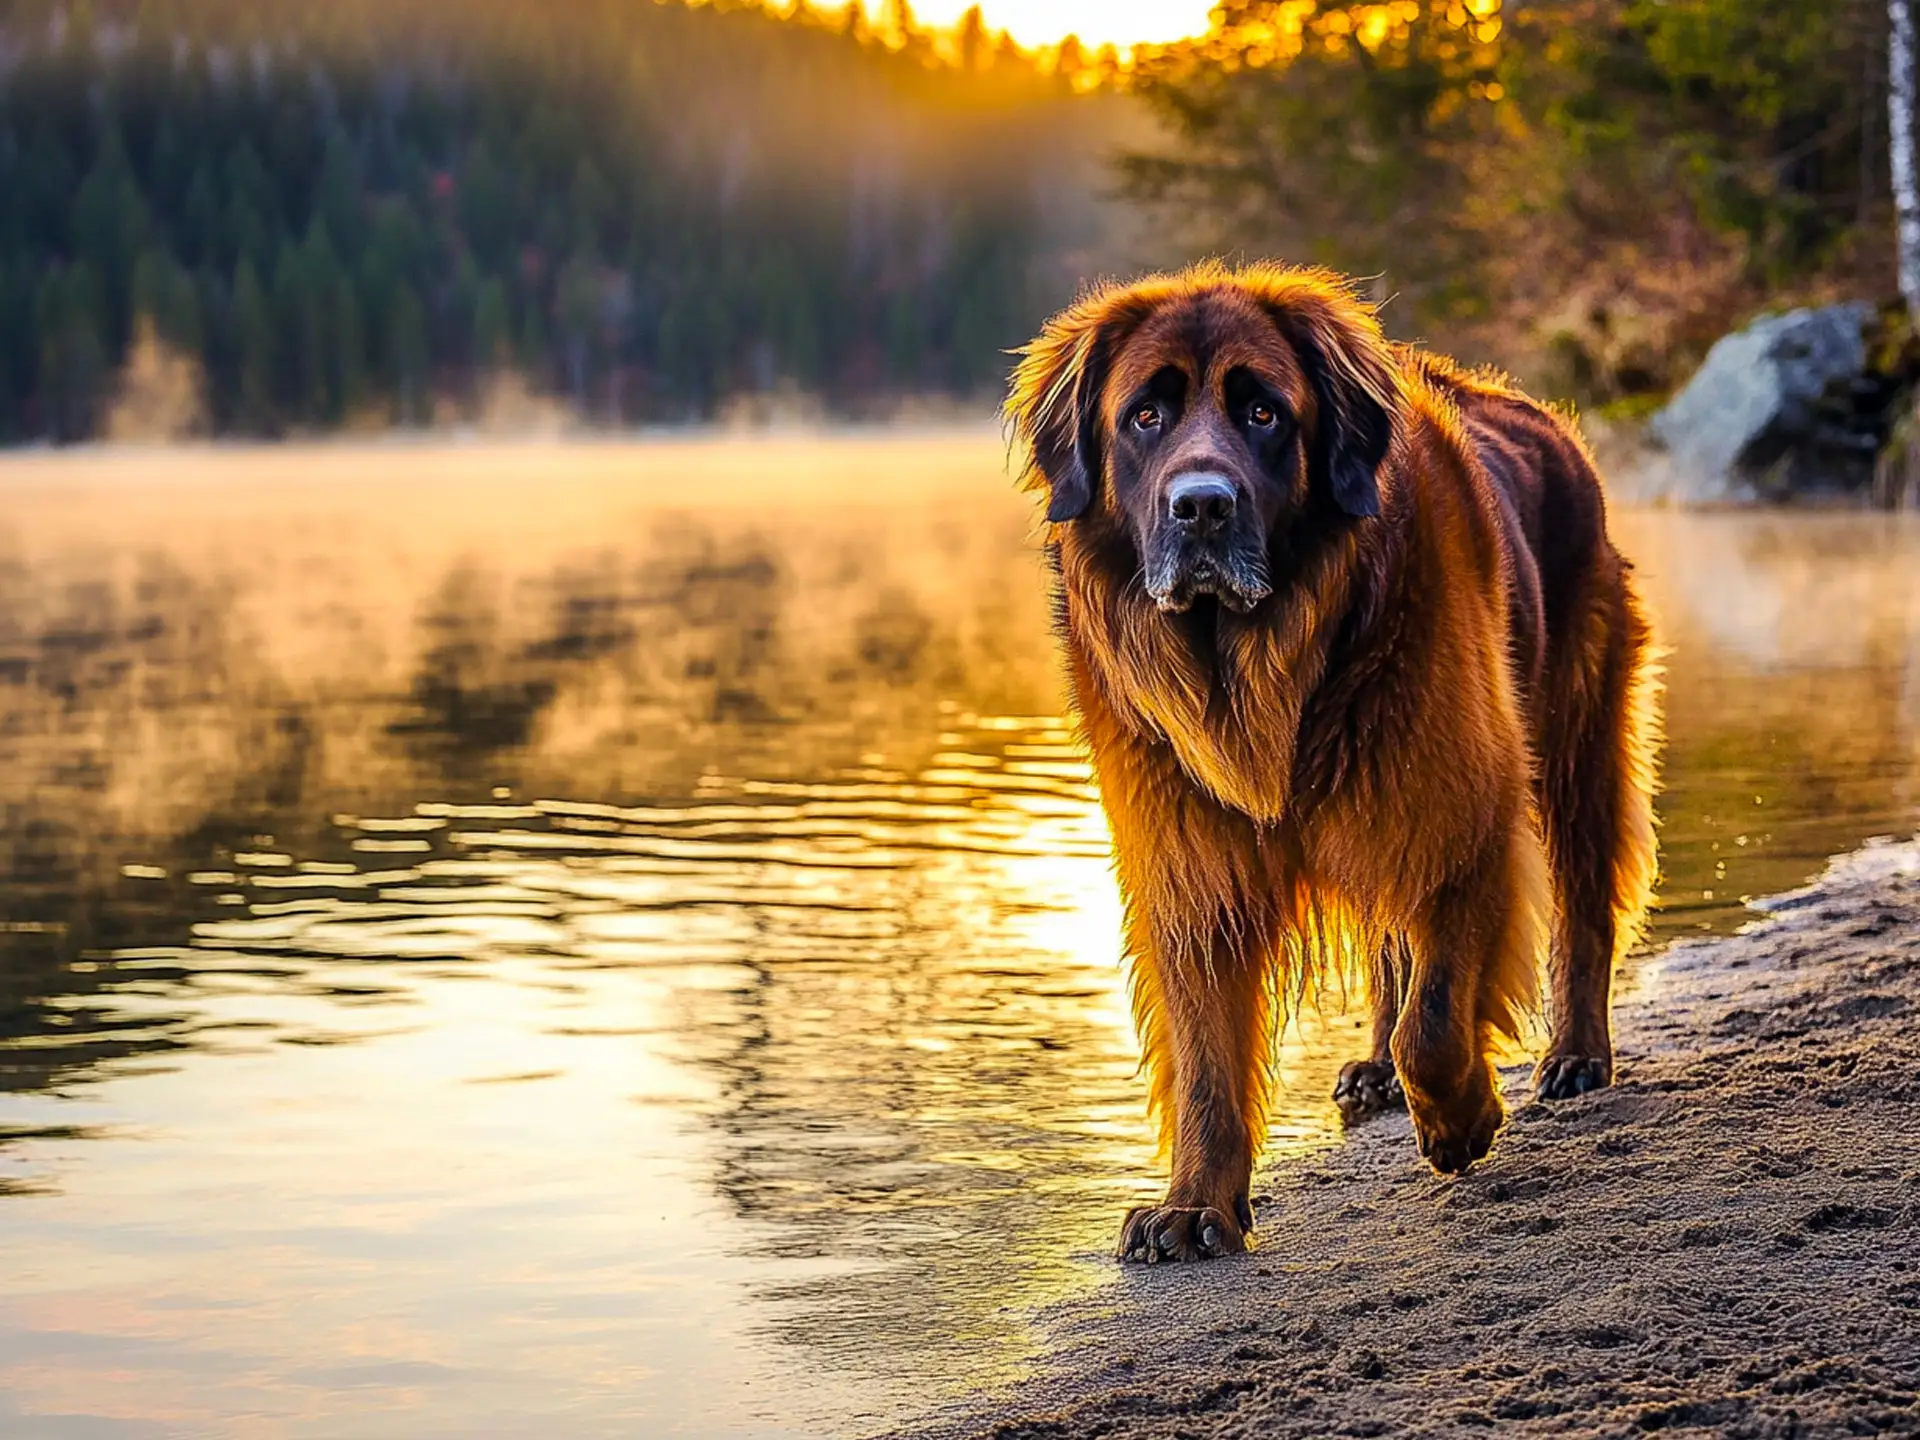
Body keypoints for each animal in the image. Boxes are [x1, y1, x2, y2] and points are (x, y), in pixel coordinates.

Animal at [1013, 264, 1658, 1267]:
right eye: (1145, 415)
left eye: (1265, 412)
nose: (1202, 505)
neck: (1259, 666)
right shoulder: (1192, 863)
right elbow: (1206, 1054)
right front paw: (1195, 1204)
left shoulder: (1459, 805)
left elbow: (1437, 1014)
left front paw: (1461, 1119)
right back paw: (1376, 1069)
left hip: (1574, 737)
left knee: (1583, 899)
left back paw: (1576, 1056)